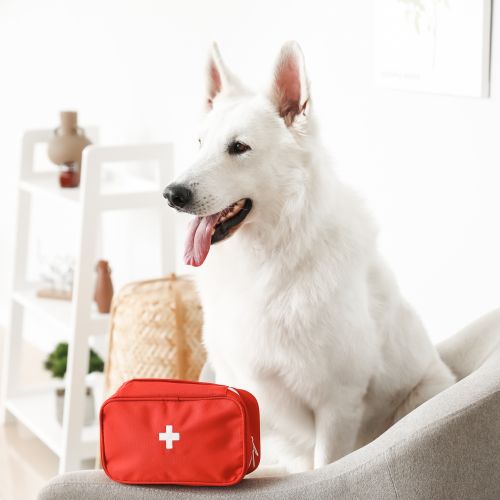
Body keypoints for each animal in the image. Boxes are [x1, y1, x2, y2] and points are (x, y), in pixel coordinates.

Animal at [165, 42, 458, 472]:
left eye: (239, 148)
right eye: (199, 144)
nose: (172, 194)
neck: (270, 256)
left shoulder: (337, 403)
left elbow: (328, 466)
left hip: (422, 392)